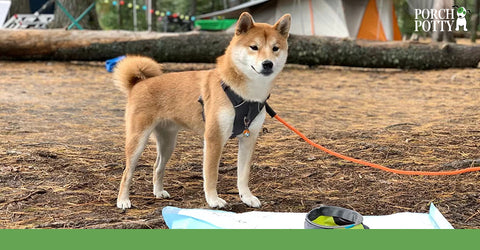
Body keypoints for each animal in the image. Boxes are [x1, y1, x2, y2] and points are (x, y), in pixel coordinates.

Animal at [114, 12, 290, 210]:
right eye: (254, 47)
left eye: (275, 48)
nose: (268, 64)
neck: (245, 94)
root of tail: (138, 83)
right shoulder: (214, 138)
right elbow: (211, 174)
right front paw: (213, 199)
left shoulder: (249, 138)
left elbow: (243, 175)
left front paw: (247, 197)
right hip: (138, 141)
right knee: (127, 173)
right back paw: (123, 200)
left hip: (168, 143)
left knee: (157, 166)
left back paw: (158, 192)